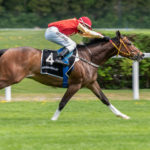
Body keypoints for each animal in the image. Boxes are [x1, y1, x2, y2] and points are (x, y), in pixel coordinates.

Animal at [0, 30, 144, 120]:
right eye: (130, 43)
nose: (141, 54)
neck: (88, 57)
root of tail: (7, 50)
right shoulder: (75, 84)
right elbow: (62, 102)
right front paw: (53, 119)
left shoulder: (91, 83)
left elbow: (105, 99)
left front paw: (122, 115)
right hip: (10, 77)